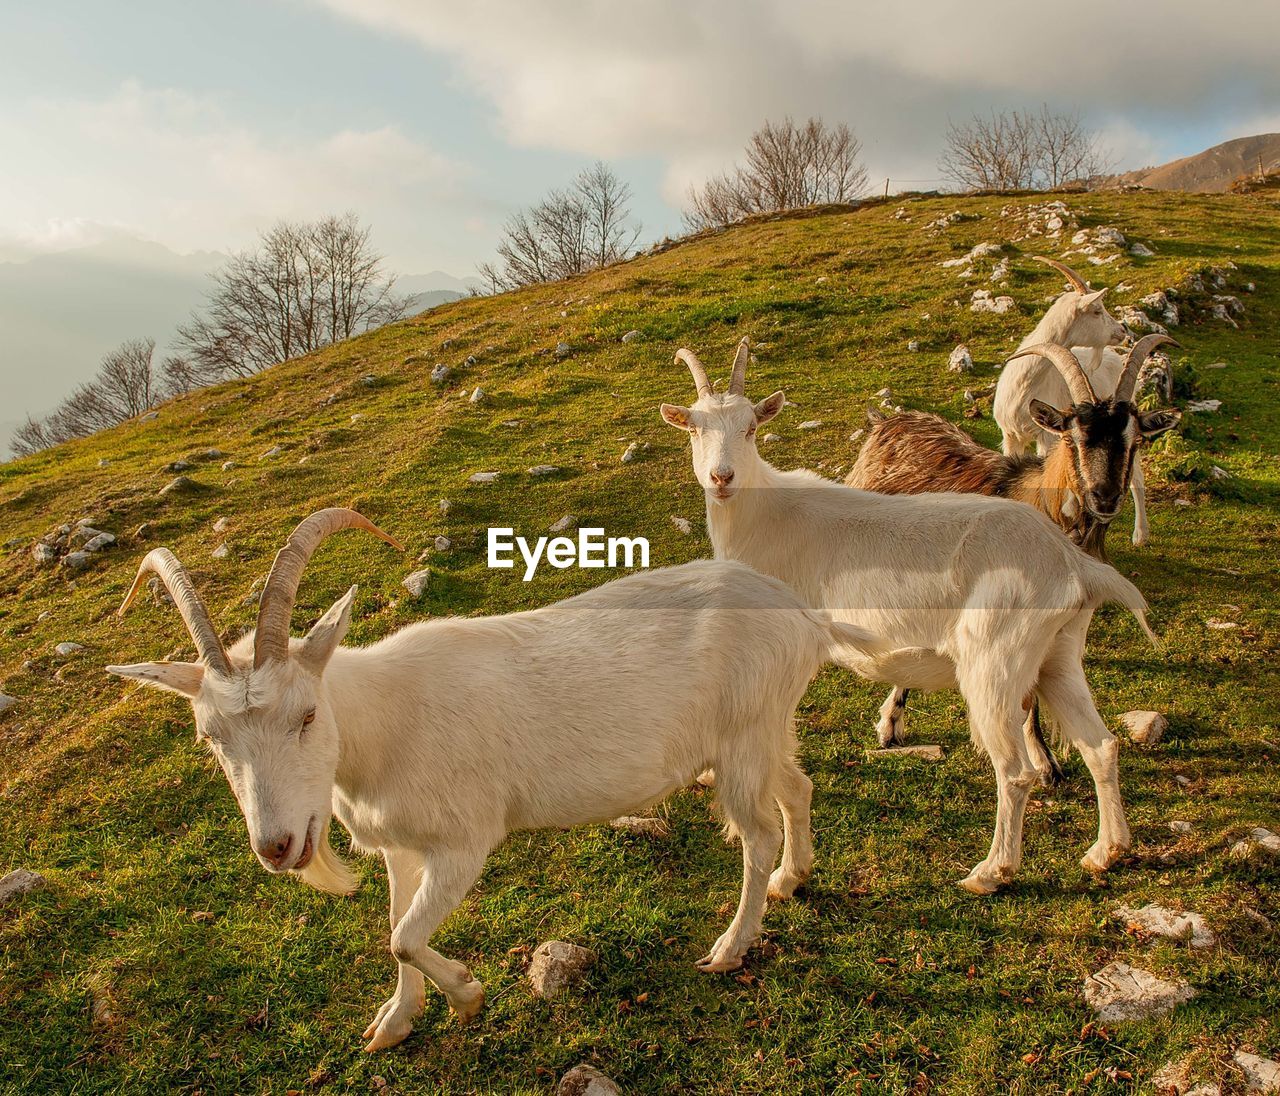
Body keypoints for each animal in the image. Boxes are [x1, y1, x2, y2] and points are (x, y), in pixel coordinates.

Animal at [104, 509, 885, 1049]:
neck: (384, 720)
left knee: (754, 833)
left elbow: (404, 937)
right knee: (797, 789)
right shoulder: (399, 849)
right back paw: (793, 879)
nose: (277, 847)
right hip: (763, 730)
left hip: (743, 737)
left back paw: (730, 948)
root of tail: (802, 613)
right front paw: (395, 1022)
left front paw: (467, 994)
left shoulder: (463, 842)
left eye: (307, 713)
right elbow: (394, 926)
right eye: (211, 737)